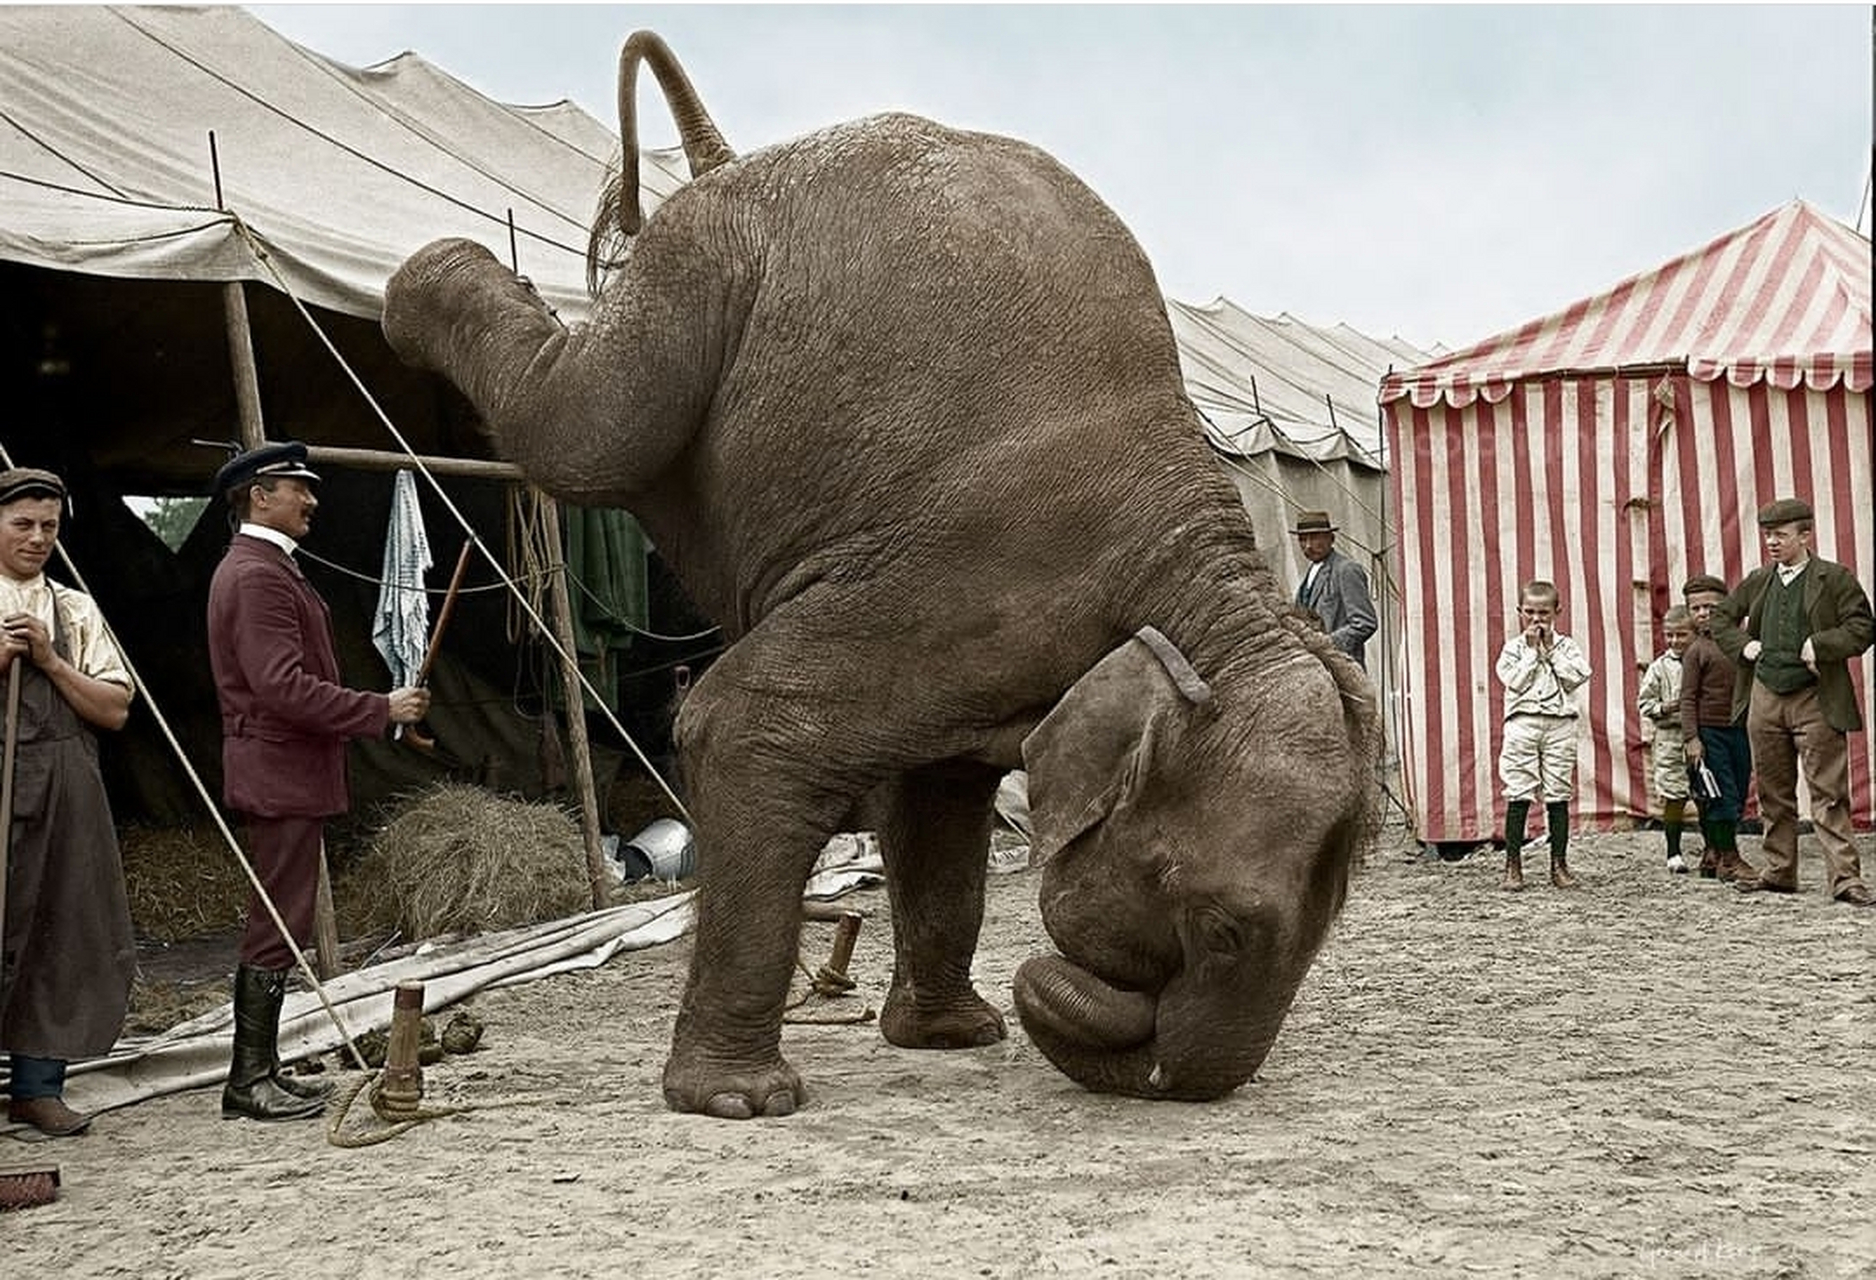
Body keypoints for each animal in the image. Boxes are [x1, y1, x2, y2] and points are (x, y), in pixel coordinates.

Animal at [384, 24, 1380, 1111]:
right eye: (1222, 927)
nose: (1147, 1062)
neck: (1205, 579)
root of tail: (730, 161)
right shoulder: (968, 583)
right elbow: (738, 727)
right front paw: (743, 1101)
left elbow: (938, 796)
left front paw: (953, 1036)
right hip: (699, 264)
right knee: (584, 434)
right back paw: (422, 281)